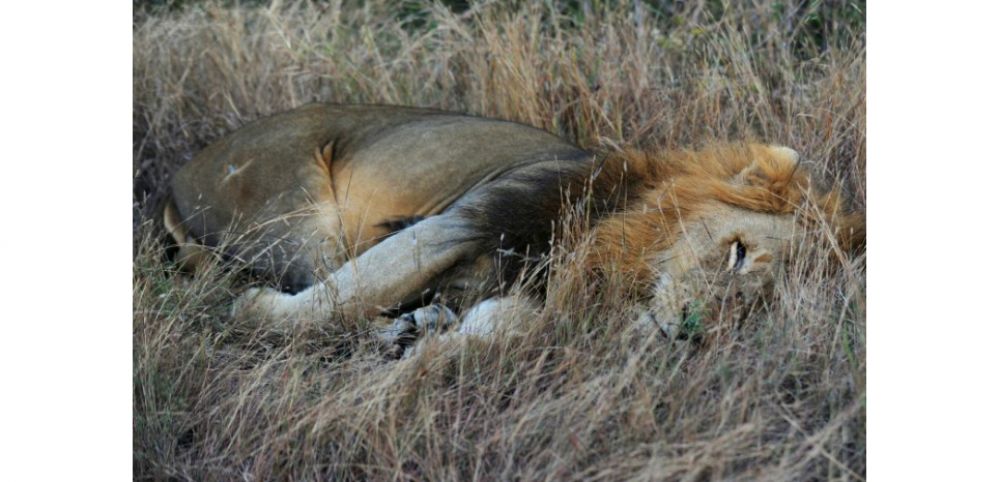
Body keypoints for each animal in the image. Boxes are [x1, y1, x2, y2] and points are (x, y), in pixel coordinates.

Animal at [164, 103, 863, 346]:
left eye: (765, 308)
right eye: (738, 254)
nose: (692, 332)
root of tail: (177, 178)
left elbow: (513, 320)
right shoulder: (461, 220)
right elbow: (347, 294)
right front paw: (254, 311)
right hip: (298, 211)